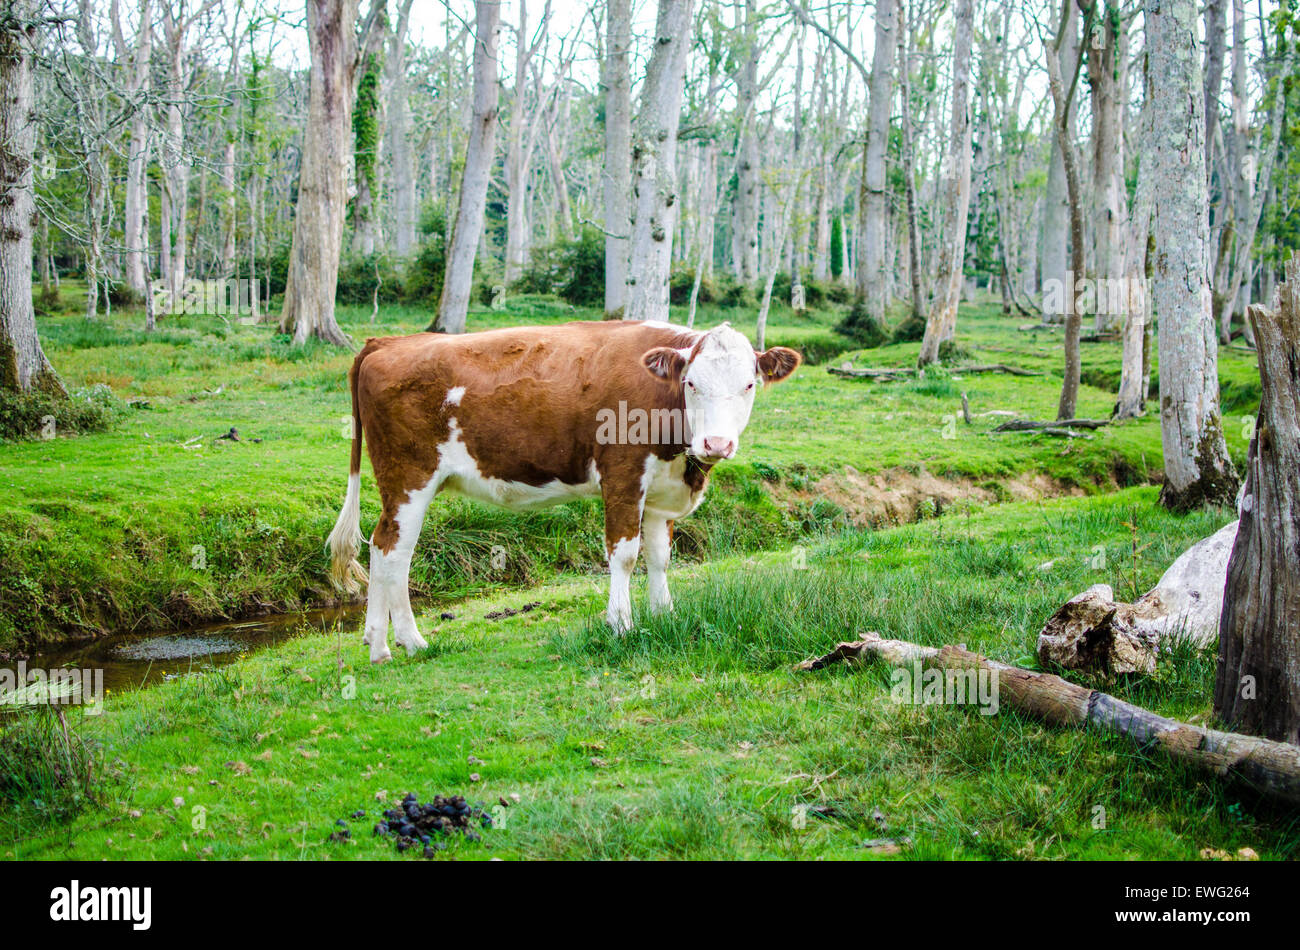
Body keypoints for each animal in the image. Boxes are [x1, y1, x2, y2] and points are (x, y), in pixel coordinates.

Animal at [327, 320, 801, 663]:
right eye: (691, 384)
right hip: (409, 477)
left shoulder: (660, 492)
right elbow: (625, 556)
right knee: (394, 550)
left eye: (749, 385)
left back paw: (376, 640)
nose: (716, 444)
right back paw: (405, 642)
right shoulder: (622, 476)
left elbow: (660, 558)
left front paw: (665, 615)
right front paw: (621, 626)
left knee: (379, 545)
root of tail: (388, 342)